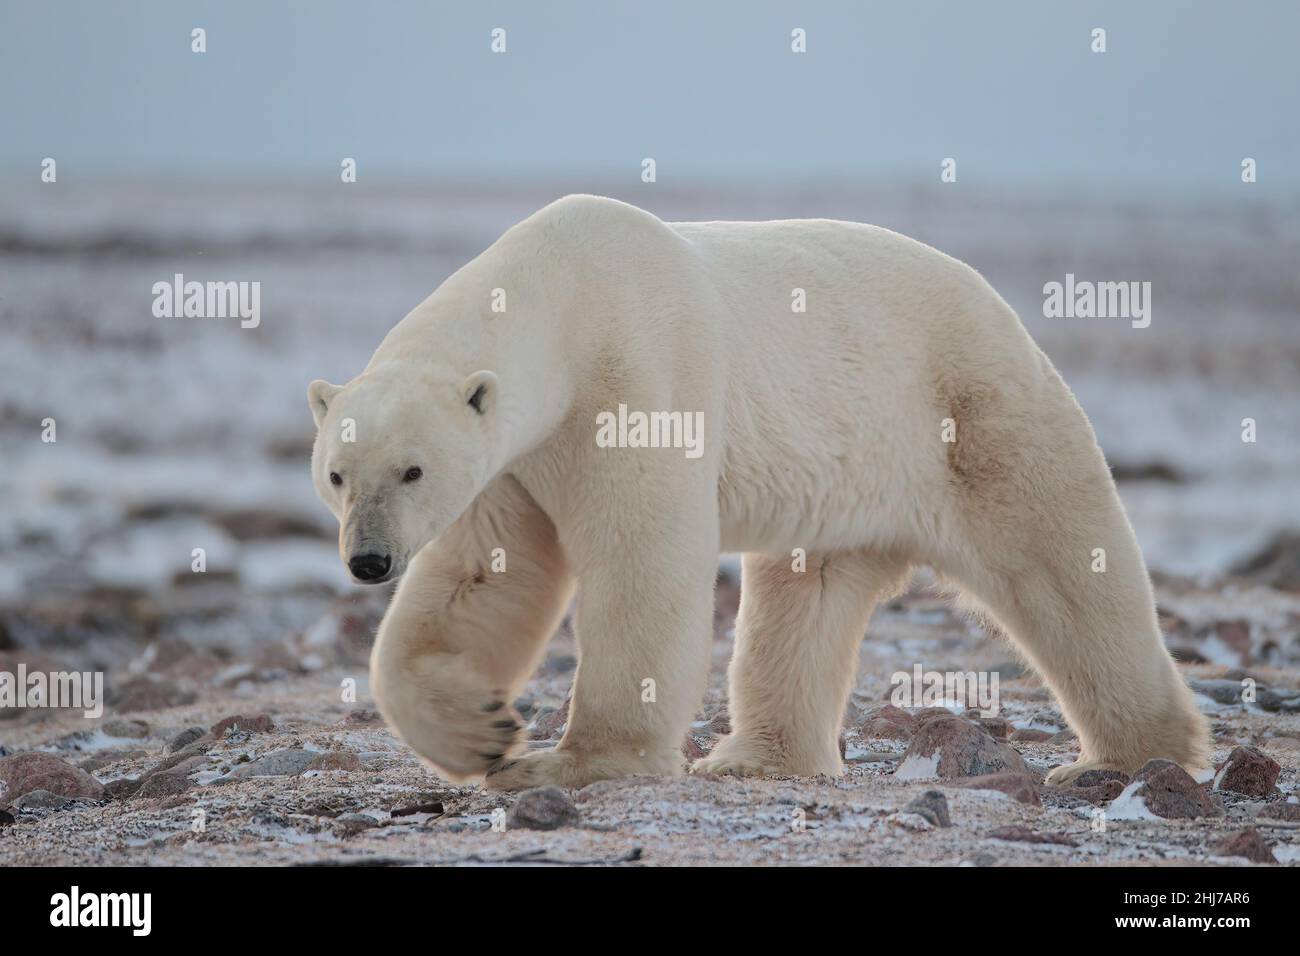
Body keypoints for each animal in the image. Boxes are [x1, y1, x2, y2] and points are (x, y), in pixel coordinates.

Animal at [306, 191, 1206, 790]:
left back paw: (1128, 755)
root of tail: (997, 304)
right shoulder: (517, 460)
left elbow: (642, 556)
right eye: (337, 474)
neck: (563, 293)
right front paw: (483, 734)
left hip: (974, 413)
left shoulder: (635, 376)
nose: (368, 560)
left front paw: (574, 762)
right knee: (807, 598)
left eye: (413, 469)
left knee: (1066, 566)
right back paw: (755, 757)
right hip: (848, 475)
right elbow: (483, 576)